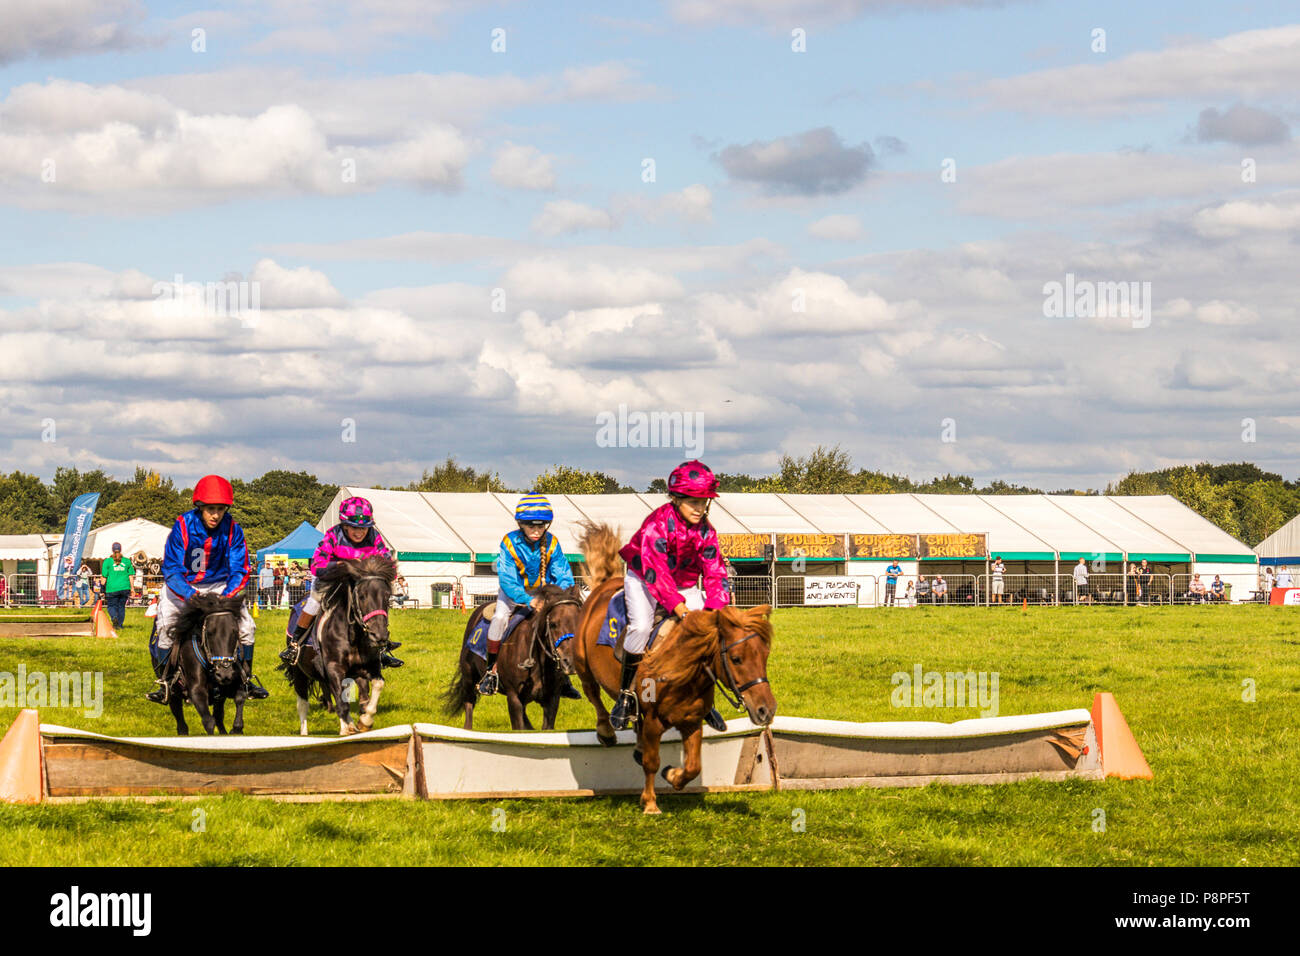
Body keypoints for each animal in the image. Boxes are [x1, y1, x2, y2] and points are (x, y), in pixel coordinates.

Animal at [162, 595, 248, 738]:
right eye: (210, 632)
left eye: (235, 631)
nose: (224, 674)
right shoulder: (197, 690)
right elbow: (208, 721)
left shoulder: (237, 682)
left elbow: (240, 699)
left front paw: (236, 729)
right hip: (173, 693)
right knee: (179, 717)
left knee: (219, 716)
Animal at [275, 556, 392, 738]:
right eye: (362, 596)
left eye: (387, 596)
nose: (379, 636)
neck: (353, 635)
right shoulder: (334, 668)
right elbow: (341, 703)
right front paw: (344, 730)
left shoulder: (369, 667)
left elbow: (377, 686)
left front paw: (365, 721)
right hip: (299, 671)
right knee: (303, 704)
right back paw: (305, 733)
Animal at [444, 582, 587, 733]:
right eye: (553, 624)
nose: (570, 662)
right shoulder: (514, 698)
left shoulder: (552, 700)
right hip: (469, 678)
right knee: (469, 704)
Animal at [556, 522, 774, 816]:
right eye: (737, 658)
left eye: (765, 656)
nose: (766, 710)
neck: (683, 672)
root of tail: (605, 584)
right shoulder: (653, 720)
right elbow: (652, 761)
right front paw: (650, 802)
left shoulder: (692, 721)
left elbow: (693, 766)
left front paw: (673, 775)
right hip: (582, 664)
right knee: (594, 695)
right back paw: (607, 730)